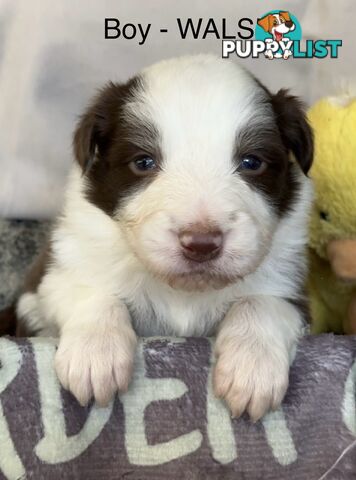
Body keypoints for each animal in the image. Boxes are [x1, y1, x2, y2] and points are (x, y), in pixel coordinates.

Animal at [15, 53, 312, 420]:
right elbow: (96, 295)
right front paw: (95, 355)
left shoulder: (292, 290)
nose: (201, 244)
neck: (183, 292)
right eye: (144, 162)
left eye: (251, 162)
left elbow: (260, 302)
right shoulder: (52, 279)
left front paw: (252, 369)